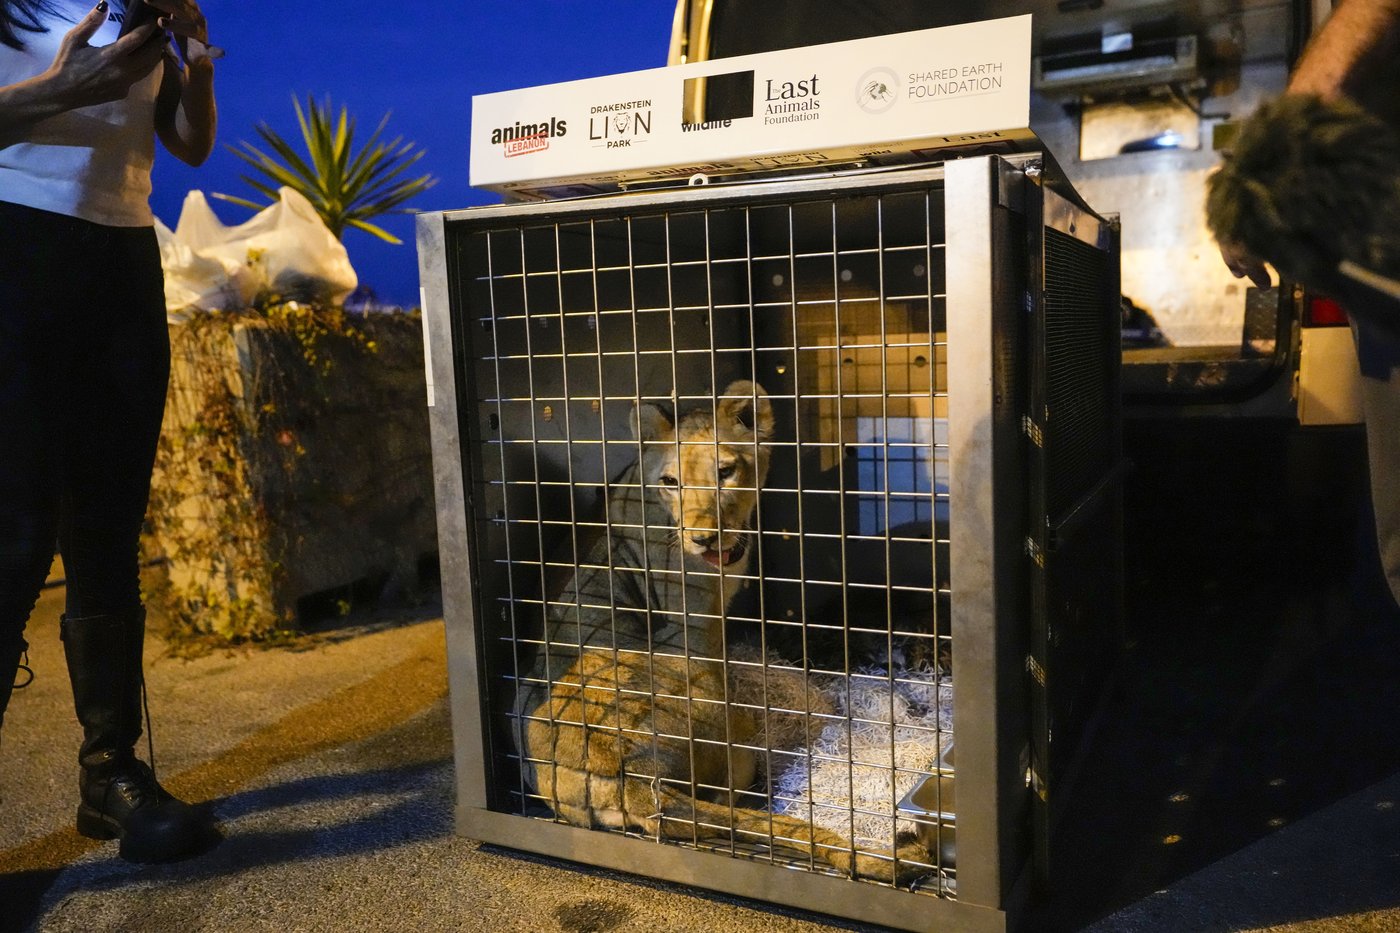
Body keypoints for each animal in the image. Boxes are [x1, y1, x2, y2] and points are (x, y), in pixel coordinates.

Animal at [512, 379, 929, 883]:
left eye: (726, 471)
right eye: (671, 482)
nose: (703, 539)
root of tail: (632, 778)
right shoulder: (696, 623)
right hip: (730, 732)